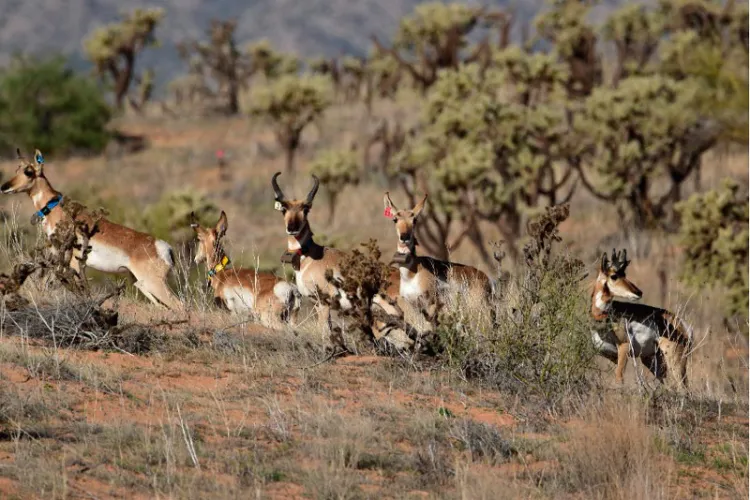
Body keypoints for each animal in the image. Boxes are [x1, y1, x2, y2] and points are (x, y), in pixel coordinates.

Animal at [1, 147, 181, 308]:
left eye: (29, 171)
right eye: (17, 169)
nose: (4, 187)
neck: (57, 209)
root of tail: (163, 247)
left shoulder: (74, 264)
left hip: (153, 284)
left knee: (180, 305)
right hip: (142, 285)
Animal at [270, 171, 400, 328]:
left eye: (306, 209)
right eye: (284, 209)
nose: (292, 228)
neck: (310, 258)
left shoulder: (324, 304)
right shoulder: (316, 303)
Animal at [592, 248, 696, 388]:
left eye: (624, 274)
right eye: (614, 276)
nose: (638, 292)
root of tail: (684, 325)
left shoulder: (624, 348)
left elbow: (619, 378)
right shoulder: (610, 355)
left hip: (674, 360)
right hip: (652, 361)